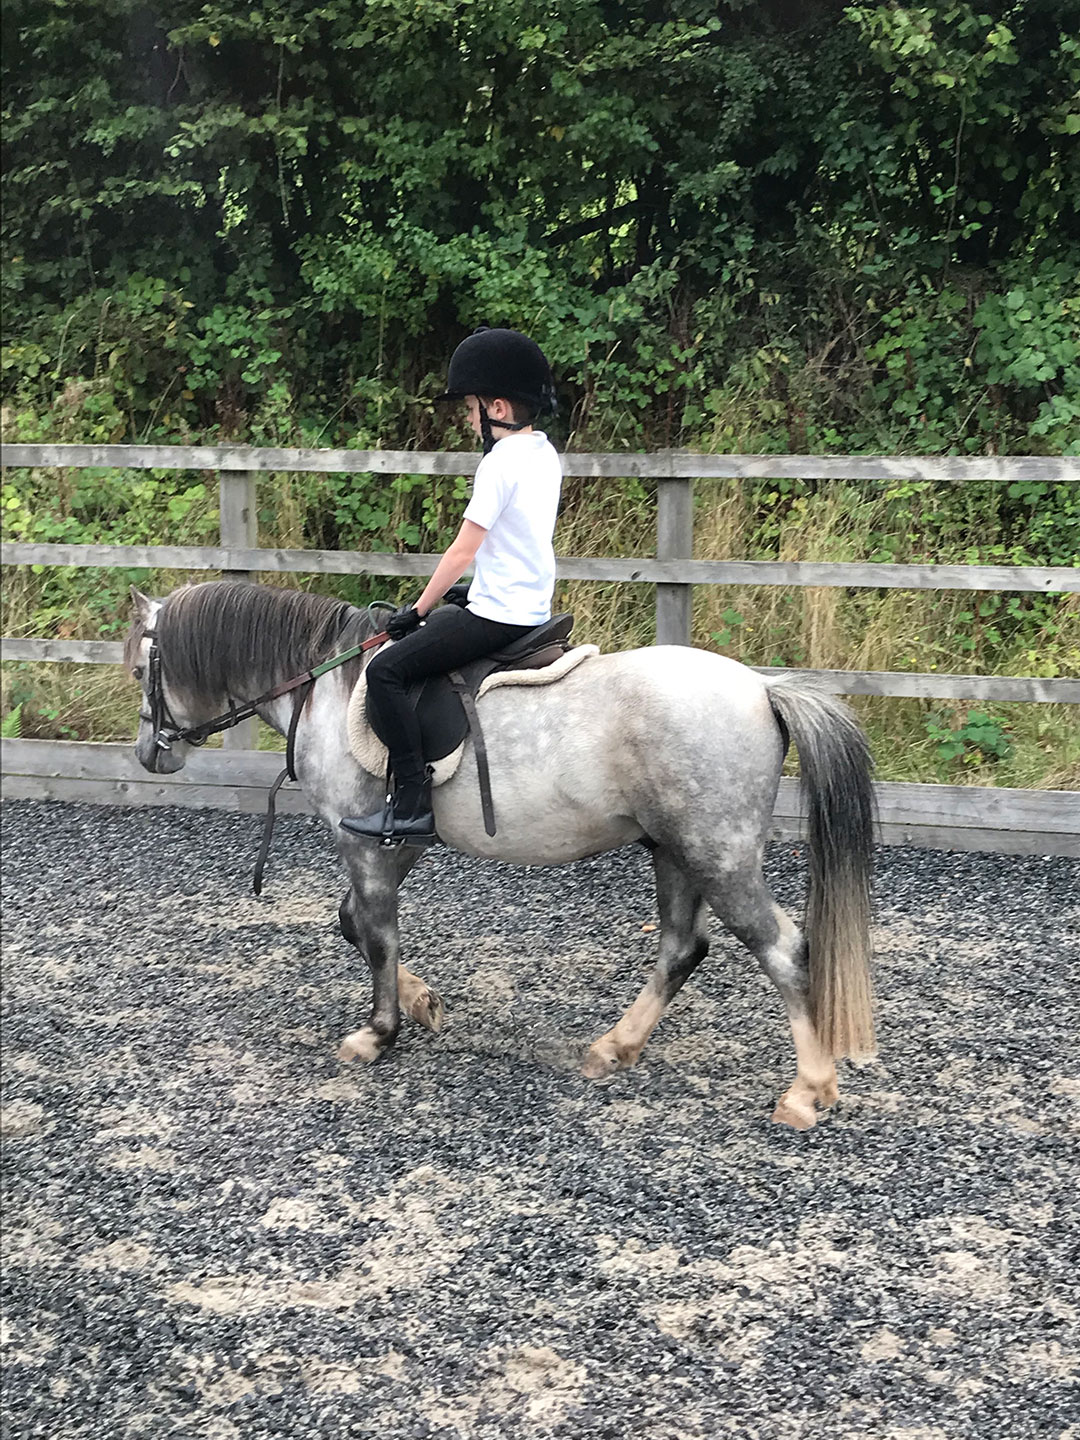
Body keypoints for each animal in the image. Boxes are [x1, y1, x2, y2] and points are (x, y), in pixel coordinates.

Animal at [126, 578, 875, 1128]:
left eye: (140, 670)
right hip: (675, 850)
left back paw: (806, 1092)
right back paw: (615, 1048)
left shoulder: (361, 841)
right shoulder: (398, 842)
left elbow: (375, 932)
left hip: (717, 854)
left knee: (784, 951)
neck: (324, 692)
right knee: (681, 947)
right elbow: (355, 924)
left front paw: (378, 1032)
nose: (149, 755)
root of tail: (762, 690)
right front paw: (423, 1005)